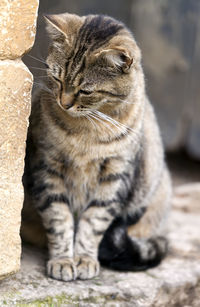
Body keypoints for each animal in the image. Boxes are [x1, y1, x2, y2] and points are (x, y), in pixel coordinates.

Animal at [21, 12, 172, 282]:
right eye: (57, 78)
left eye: (86, 90)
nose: (64, 103)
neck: (86, 131)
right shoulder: (47, 168)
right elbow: (59, 217)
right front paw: (63, 260)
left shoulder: (116, 175)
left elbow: (93, 222)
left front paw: (84, 259)